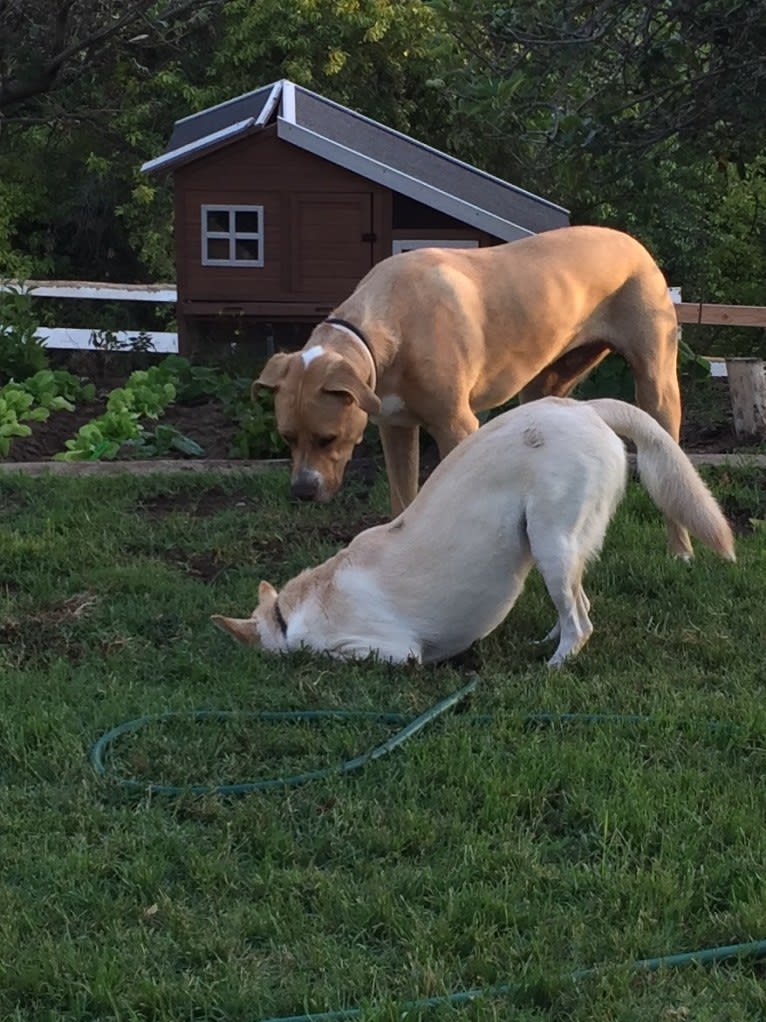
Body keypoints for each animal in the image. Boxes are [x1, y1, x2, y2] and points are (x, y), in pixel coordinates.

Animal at [211, 394, 739, 666]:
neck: (290, 612)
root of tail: (582, 406)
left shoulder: (393, 652)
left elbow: (340, 657)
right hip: (560, 548)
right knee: (579, 606)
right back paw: (545, 643)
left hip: (551, 542)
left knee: (582, 624)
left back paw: (553, 666)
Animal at [258, 227, 690, 551]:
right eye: (287, 437)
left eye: (327, 438)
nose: (302, 491)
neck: (390, 320)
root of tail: (633, 243)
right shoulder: (395, 427)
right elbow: (402, 498)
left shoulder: (456, 426)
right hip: (544, 384)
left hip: (657, 389)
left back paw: (680, 549)